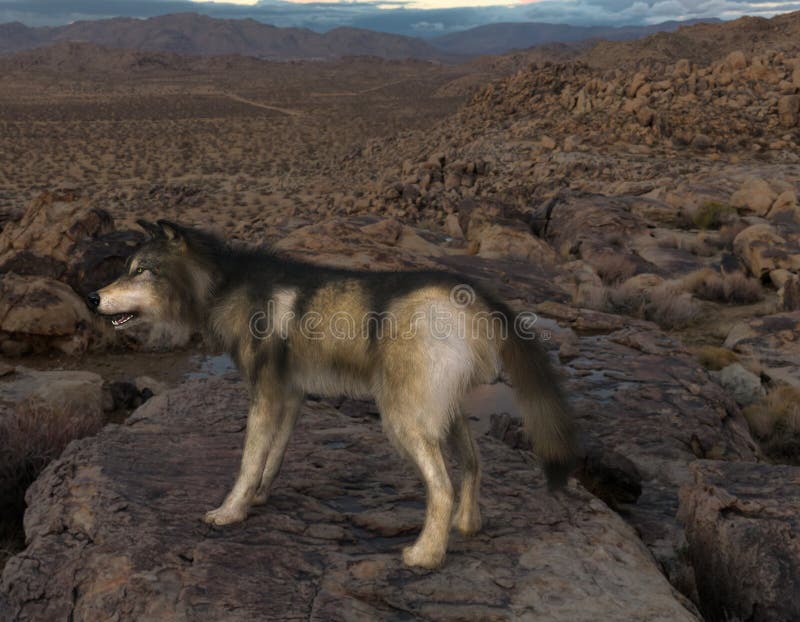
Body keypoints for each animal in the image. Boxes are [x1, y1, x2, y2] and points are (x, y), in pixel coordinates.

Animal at [87, 219, 579, 569]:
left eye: (141, 271)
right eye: (125, 269)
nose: (91, 298)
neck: (223, 285)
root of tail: (476, 294)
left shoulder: (265, 395)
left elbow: (248, 462)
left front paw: (229, 513)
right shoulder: (290, 396)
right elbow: (273, 456)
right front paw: (258, 499)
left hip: (402, 419)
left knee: (442, 486)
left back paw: (425, 555)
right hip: (446, 411)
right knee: (475, 466)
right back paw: (467, 526)